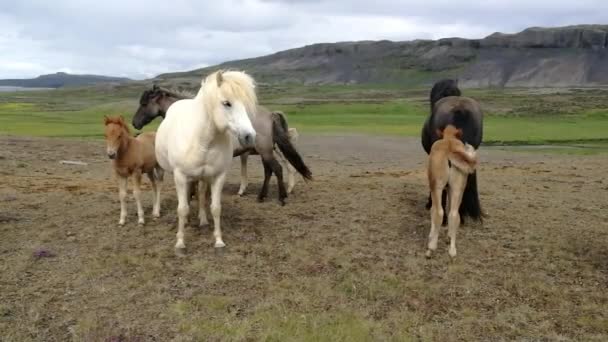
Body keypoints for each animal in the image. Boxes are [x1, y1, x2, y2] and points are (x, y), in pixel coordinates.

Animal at [135, 85, 312, 206]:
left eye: (144, 104)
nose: (134, 123)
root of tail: (270, 114)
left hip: (266, 151)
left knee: (278, 169)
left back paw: (281, 198)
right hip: (265, 152)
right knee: (269, 171)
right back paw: (261, 197)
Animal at [156, 70, 258, 251]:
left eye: (246, 104)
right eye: (227, 103)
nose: (249, 136)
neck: (202, 139)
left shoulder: (218, 176)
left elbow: (215, 208)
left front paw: (218, 240)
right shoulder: (180, 176)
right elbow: (182, 209)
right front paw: (180, 241)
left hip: (203, 177)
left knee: (202, 194)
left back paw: (202, 220)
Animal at [426, 124, 478, 258]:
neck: (448, 137)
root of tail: (450, 150)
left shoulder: (435, 187)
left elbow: (433, 210)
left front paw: (431, 235)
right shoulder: (450, 188)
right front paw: (448, 236)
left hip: (437, 186)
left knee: (439, 212)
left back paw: (431, 248)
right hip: (458, 188)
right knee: (454, 214)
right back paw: (452, 250)